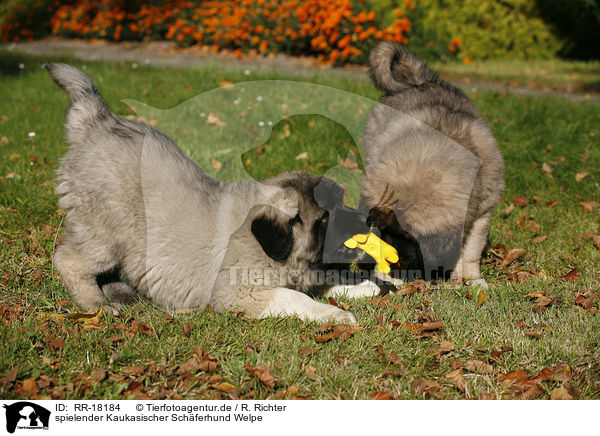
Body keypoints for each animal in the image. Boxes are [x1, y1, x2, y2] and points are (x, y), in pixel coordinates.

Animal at [364, 42, 504, 284]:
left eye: (399, 259)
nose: (383, 280)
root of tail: (420, 81)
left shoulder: (481, 212)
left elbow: (470, 251)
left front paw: (470, 278)